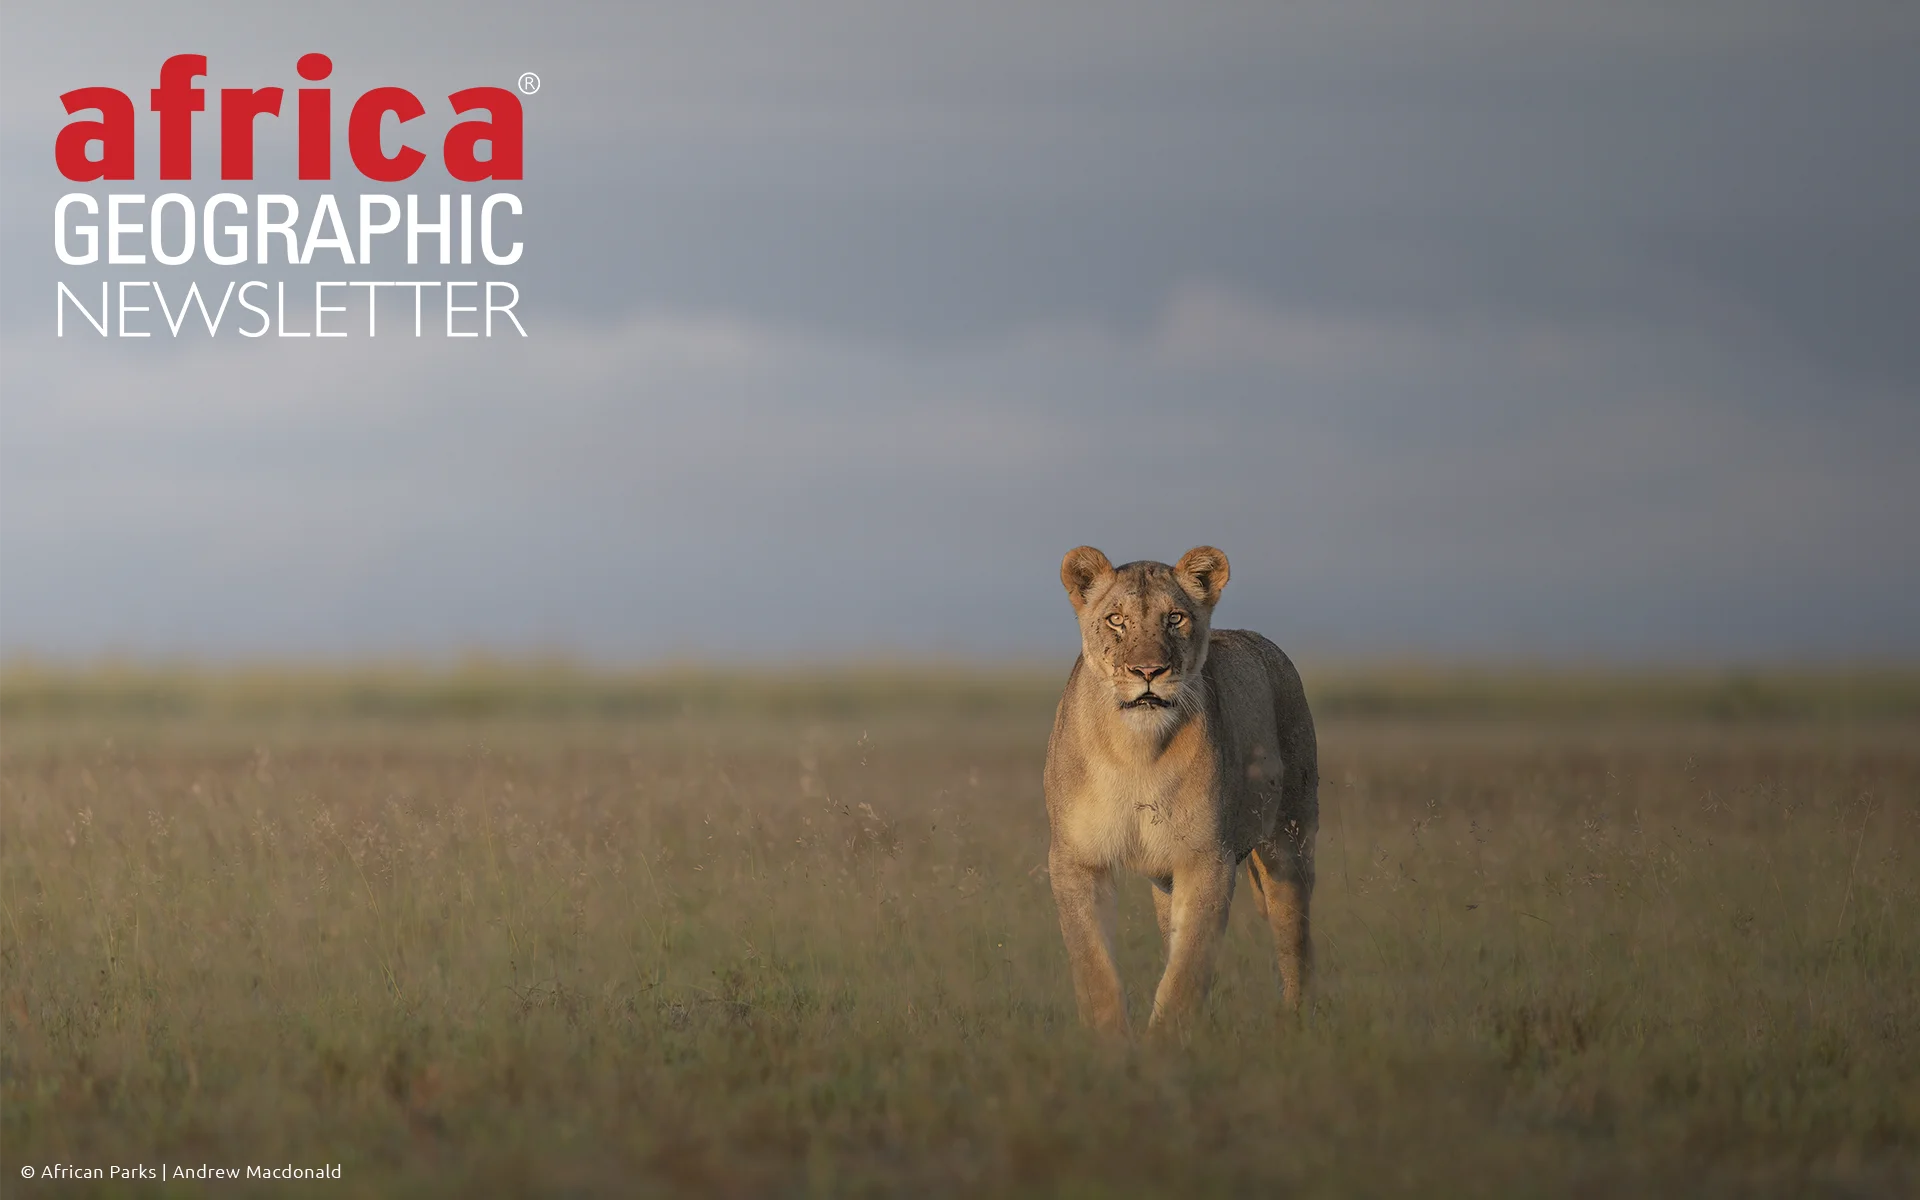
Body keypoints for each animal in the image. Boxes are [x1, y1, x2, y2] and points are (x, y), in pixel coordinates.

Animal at [1043, 545, 1318, 1036]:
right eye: (1116, 620)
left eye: (1175, 618)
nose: (1148, 670)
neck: (1135, 750)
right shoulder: (1075, 858)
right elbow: (1093, 963)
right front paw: (1108, 1042)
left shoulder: (1207, 858)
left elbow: (1188, 967)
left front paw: (1166, 1041)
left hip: (1291, 840)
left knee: (1294, 937)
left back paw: (1296, 1023)